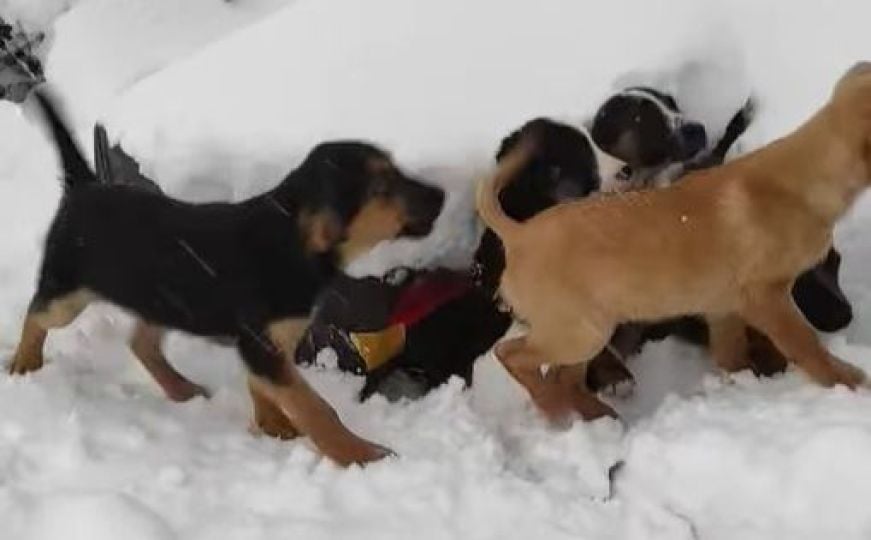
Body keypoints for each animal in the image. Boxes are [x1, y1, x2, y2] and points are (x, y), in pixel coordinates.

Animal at [5, 90, 442, 466]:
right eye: (382, 186)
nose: (441, 195)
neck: (293, 240)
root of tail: (86, 187)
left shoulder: (274, 341)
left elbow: (267, 388)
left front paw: (273, 425)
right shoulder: (261, 343)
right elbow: (316, 407)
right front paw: (359, 454)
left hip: (164, 301)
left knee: (140, 342)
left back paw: (180, 389)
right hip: (67, 294)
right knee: (37, 315)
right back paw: (23, 364)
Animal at [480, 63, 871, 422]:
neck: (804, 175)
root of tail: (517, 234)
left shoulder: (724, 308)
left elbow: (732, 355)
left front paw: (741, 384)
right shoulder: (767, 297)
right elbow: (807, 347)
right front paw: (850, 383)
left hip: (583, 333)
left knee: (565, 377)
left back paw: (595, 414)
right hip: (579, 332)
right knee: (511, 354)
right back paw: (551, 407)